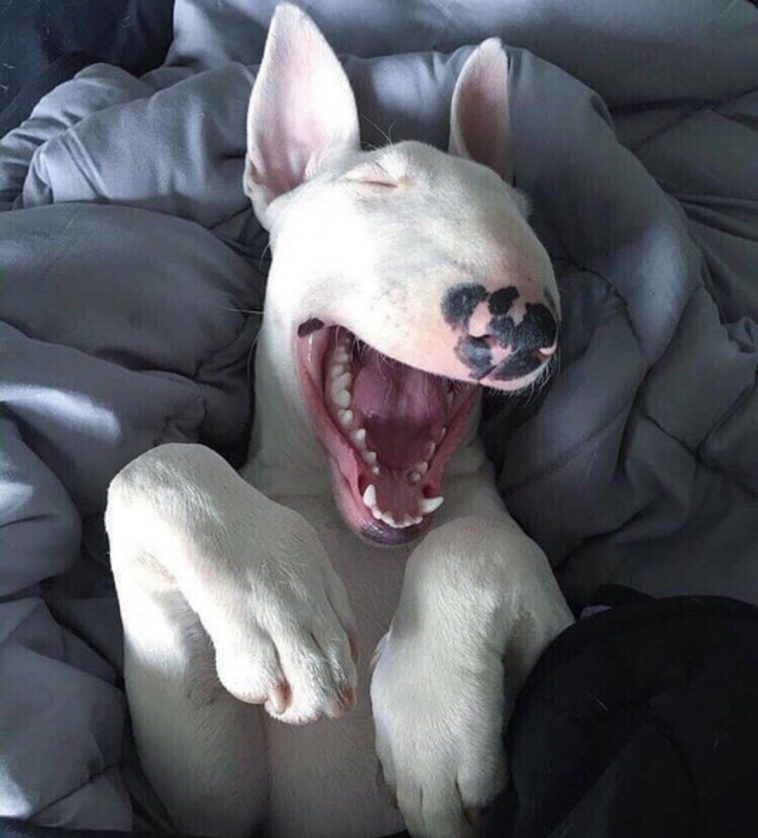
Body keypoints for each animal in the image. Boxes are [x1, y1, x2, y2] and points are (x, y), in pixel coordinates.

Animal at [104, 6, 572, 838]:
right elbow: (155, 467)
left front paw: (430, 725)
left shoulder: (557, 623)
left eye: (522, 217)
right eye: (375, 182)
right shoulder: (207, 803)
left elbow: (473, 542)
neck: (359, 533)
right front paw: (280, 609)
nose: (525, 322)